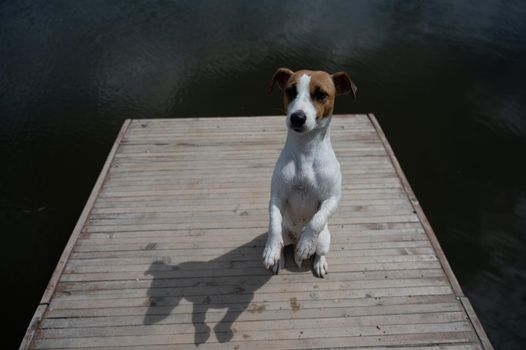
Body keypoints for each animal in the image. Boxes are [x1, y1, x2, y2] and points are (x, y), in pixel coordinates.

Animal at [262, 67, 356, 276]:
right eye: (290, 91)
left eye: (321, 94)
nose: (297, 117)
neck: (305, 150)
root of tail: (294, 237)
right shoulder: (277, 197)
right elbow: (273, 224)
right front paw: (271, 250)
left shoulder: (332, 198)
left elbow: (316, 221)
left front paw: (305, 246)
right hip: (286, 233)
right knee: (283, 242)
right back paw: (279, 259)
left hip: (324, 240)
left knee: (319, 251)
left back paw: (317, 260)